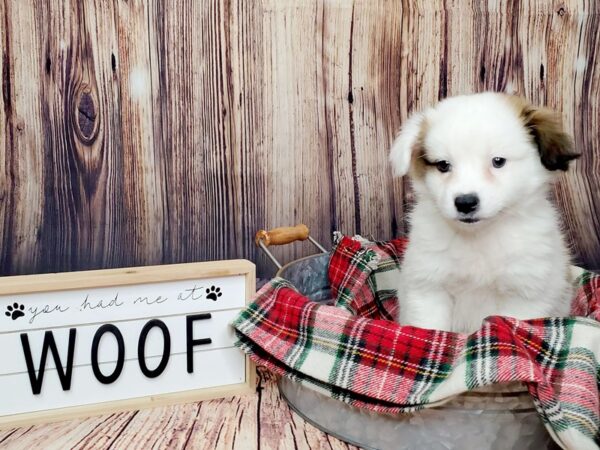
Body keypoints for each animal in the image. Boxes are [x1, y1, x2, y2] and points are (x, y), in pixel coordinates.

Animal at [390, 91, 580, 332]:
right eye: (443, 165)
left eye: (498, 161)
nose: (465, 202)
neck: (478, 237)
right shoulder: (429, 288)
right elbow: (431, 329)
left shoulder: (522, 297)